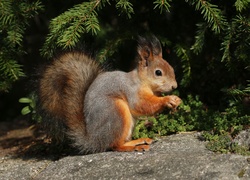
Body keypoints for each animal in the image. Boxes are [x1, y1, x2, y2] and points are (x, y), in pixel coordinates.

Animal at [38, 35, 181, 154]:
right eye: (158, 72)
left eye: (171, 68)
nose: (174, 86)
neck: (141, 81)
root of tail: (94, 140)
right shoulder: (132, 91)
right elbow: (142, 105)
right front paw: (167, 100)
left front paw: (176, 100)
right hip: (116, 112)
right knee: (114, 145)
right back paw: (134, 147)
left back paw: (138, 141)